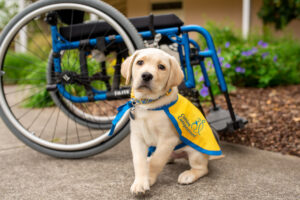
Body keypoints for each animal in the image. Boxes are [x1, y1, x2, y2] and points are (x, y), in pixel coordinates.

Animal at [120, 48, 211, 194]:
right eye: (140, 62)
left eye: (161, 67)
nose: (146, 75)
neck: (149, 104)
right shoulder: (137, 137)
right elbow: (138, 161)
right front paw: (140, 182)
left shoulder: (168, 139)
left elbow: (157, 161)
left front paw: (149, 179)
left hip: (196, 152)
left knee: (202, 168)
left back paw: (189, 175)